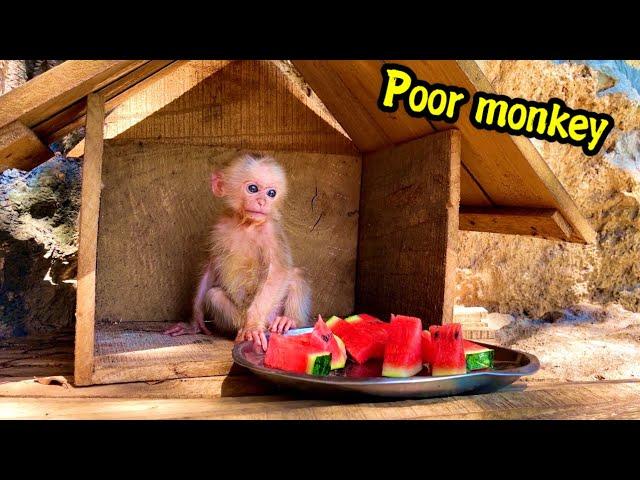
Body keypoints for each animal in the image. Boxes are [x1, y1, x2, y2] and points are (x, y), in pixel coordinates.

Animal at [164, 152, 312, 350]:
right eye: (253, 188)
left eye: (271, 193)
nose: (262, 201)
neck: (246, 225)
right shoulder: (218, 227)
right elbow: (210, 268)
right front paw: (194, 323)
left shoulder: (271, 232)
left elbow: (278, 272)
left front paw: (253, 326)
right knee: (214, 295)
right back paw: (241, 332)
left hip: (272, 310)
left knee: (295, 275)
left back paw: (287, 321)